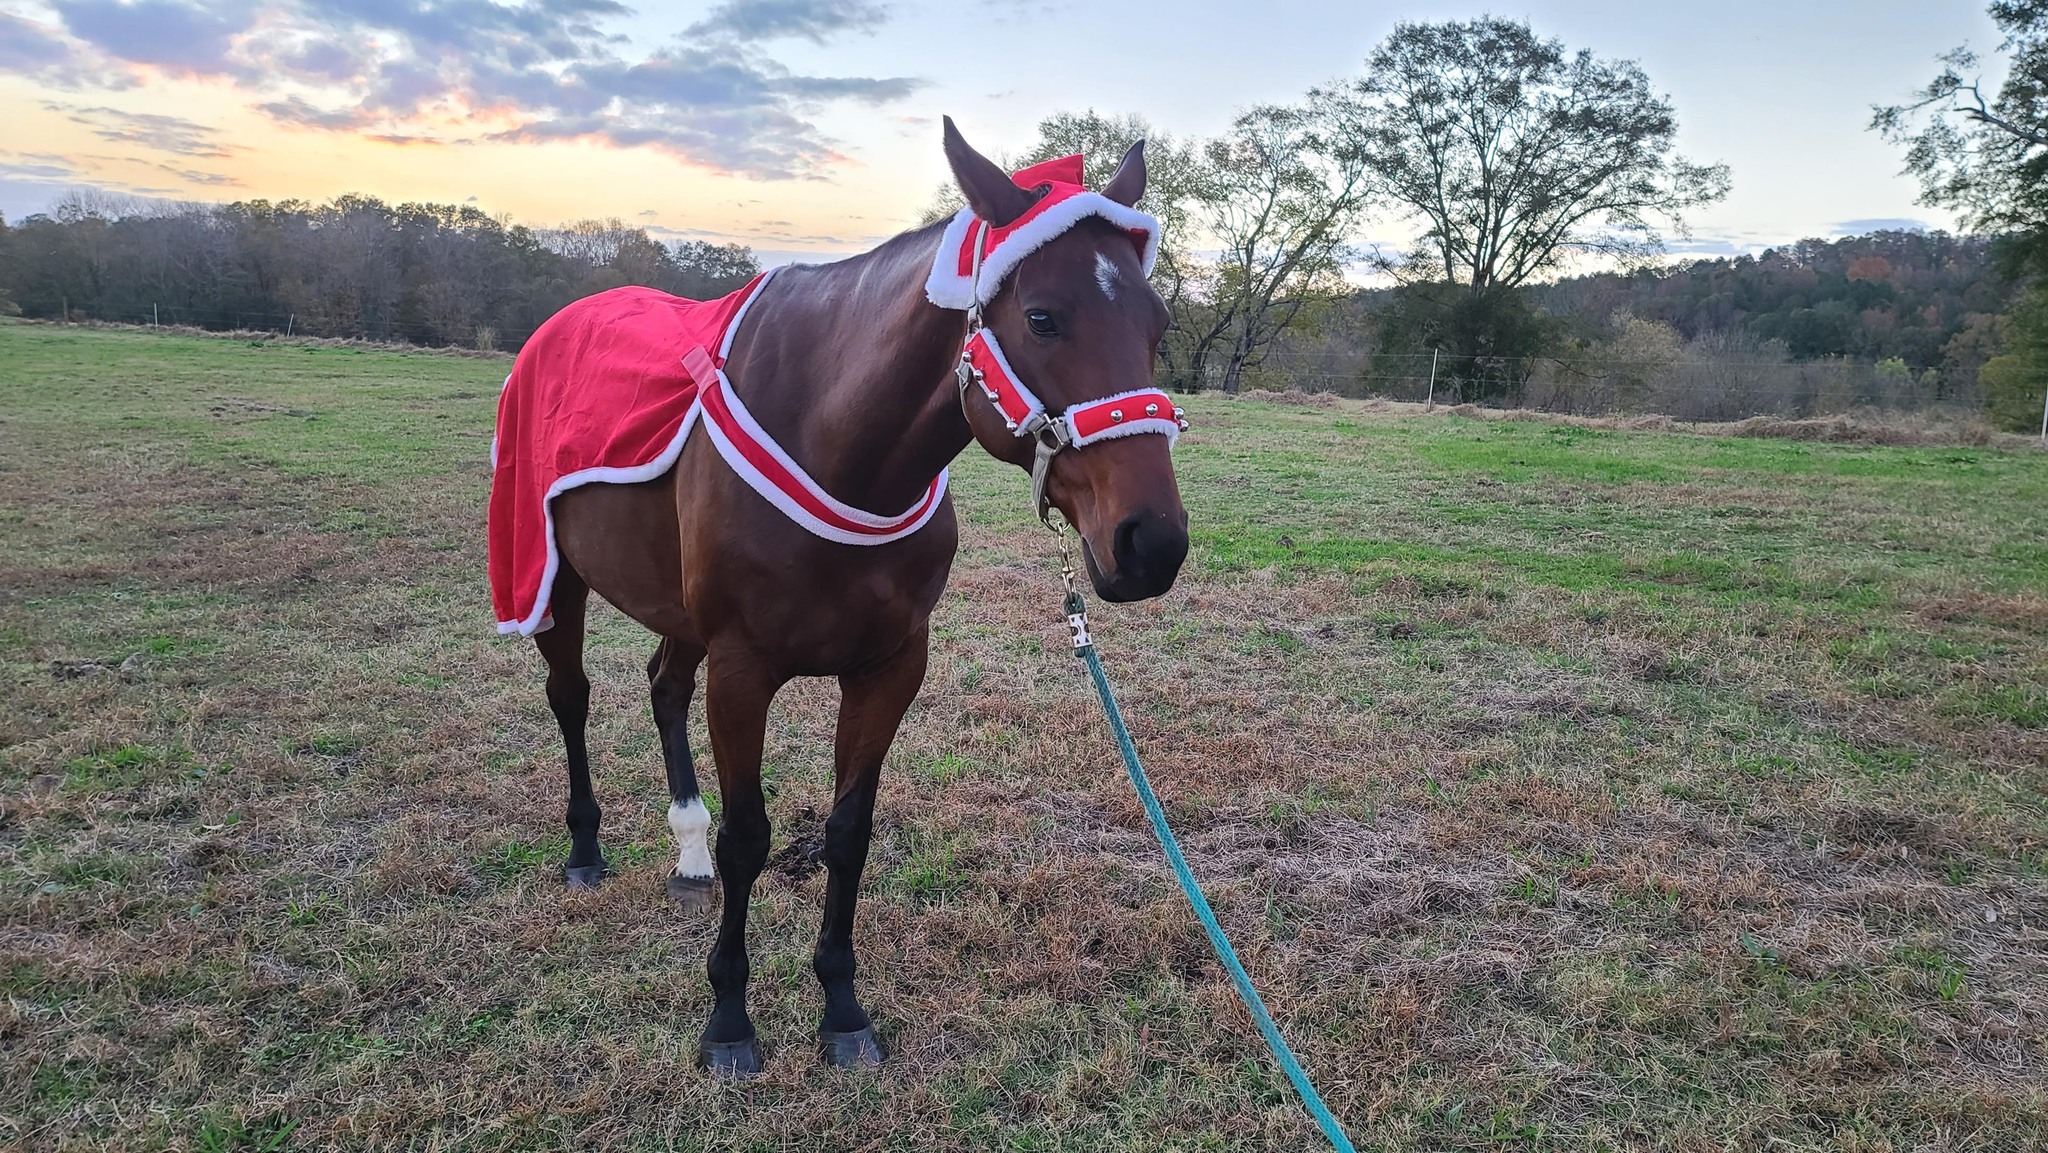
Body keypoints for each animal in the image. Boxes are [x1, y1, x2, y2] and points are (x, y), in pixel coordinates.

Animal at [488, 118, 1190, 1077]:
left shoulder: (890, 667)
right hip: (556, 579)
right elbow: (752, 836)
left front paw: (842, 1007)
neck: (833, 441)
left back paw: (685, 846)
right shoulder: (743, 670)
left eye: (1158, 323)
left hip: (677, 610)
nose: (1152, 544)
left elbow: (848, 832)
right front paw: (729, 1019)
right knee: (571, 696)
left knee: (663, 686)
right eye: (1043, 316)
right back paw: (586, 848)